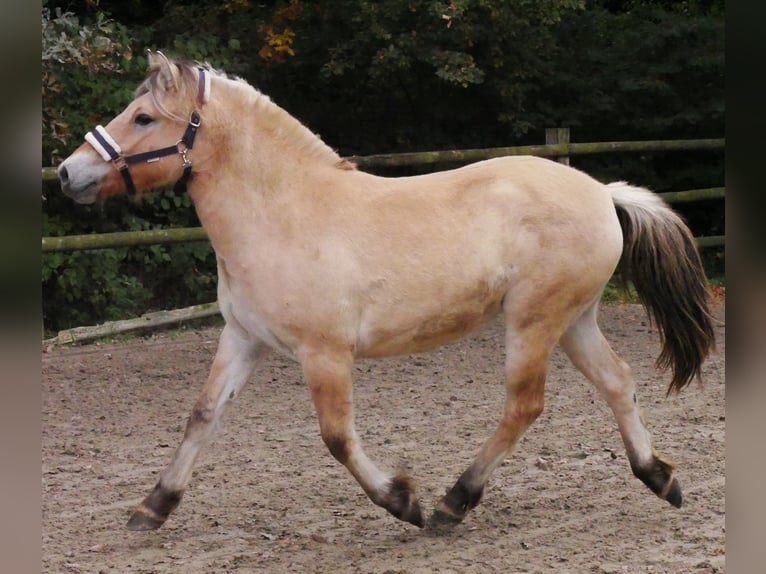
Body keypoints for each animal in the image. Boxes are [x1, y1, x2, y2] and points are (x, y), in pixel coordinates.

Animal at [57, 51, 715, 531]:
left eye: (144, 118)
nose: (68, 174)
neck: (283, 212)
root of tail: (602, 191)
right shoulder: (243, 338)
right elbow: (202, 415)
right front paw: (153, 507)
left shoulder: (325, 353)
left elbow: (337, 437)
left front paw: (404, 501)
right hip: (573, 320)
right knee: (618, 382)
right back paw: (660, 477)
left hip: (534, 321)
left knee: (524, 405)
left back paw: (453, 502)